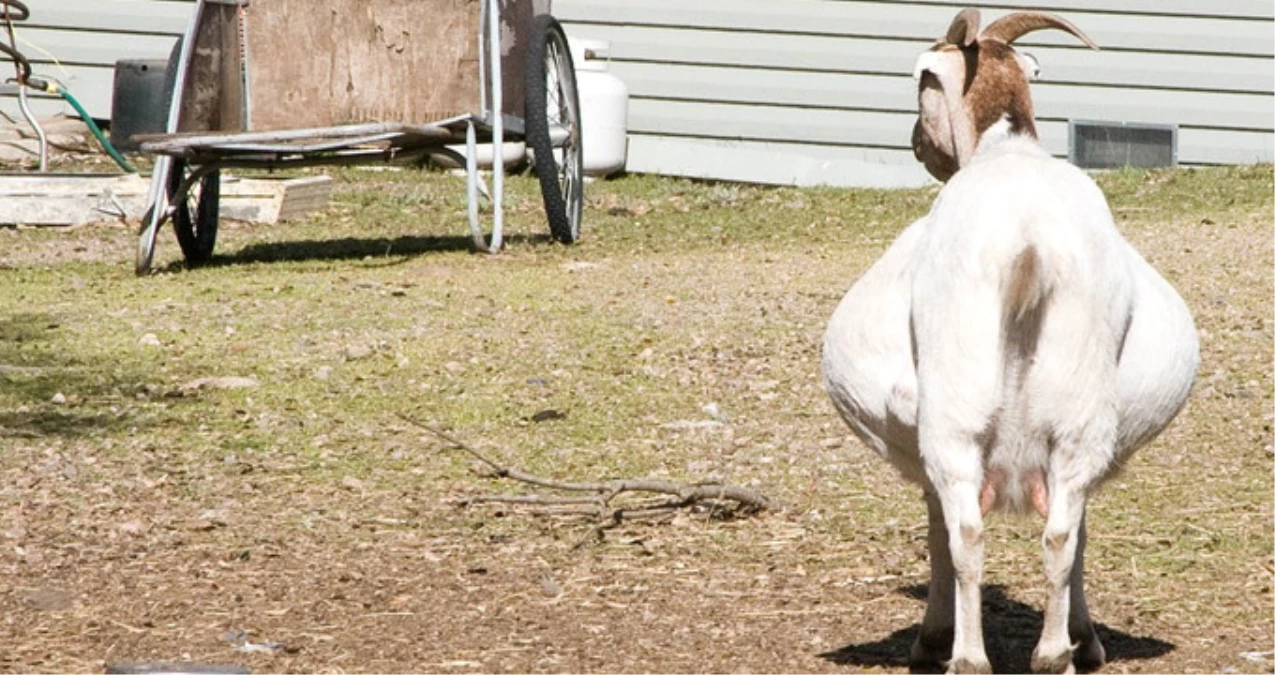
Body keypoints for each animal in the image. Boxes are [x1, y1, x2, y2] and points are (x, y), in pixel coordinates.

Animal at [821, 6, 1198, 673]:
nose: (917, 145)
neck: (1008, 150)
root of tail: (1028, 244)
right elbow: (1079, 530)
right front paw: (1086, 640)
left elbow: (939, 529)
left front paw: (931, 641)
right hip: (1077, 414)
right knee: (1062, 534)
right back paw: (1053, 654)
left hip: (955, 412)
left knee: (968, 534)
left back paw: (969, 657)